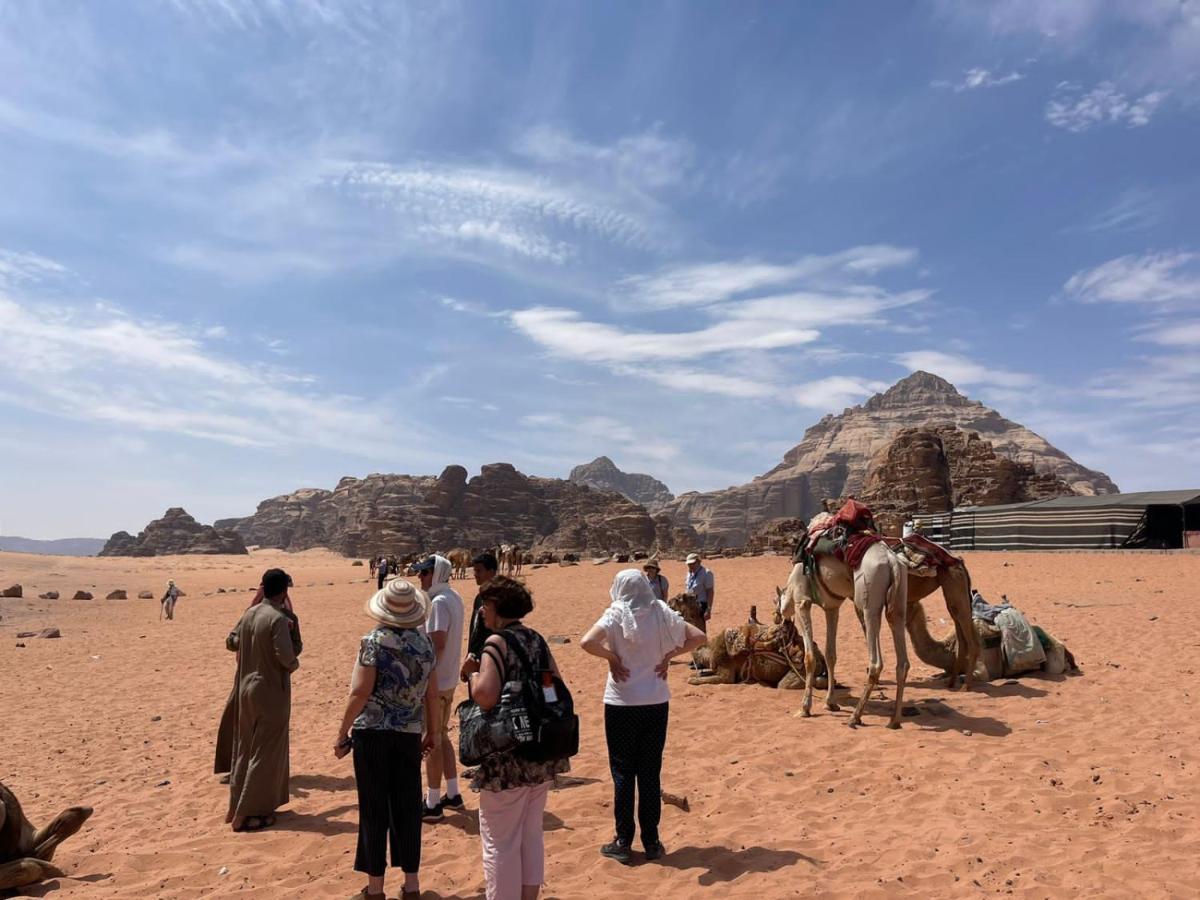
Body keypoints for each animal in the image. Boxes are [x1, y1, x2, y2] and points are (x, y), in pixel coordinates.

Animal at [777, 542, 907, 724]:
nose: (780, 619)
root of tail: (891, 561)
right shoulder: (832, 607)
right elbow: (830, 655)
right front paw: (830, 703)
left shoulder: (802, 602)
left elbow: (809, 657)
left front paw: (805, 708)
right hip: (900, 599)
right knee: (902, 660)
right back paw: (895, 720)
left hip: (869, 598)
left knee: (876, 662)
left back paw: (855, 717)